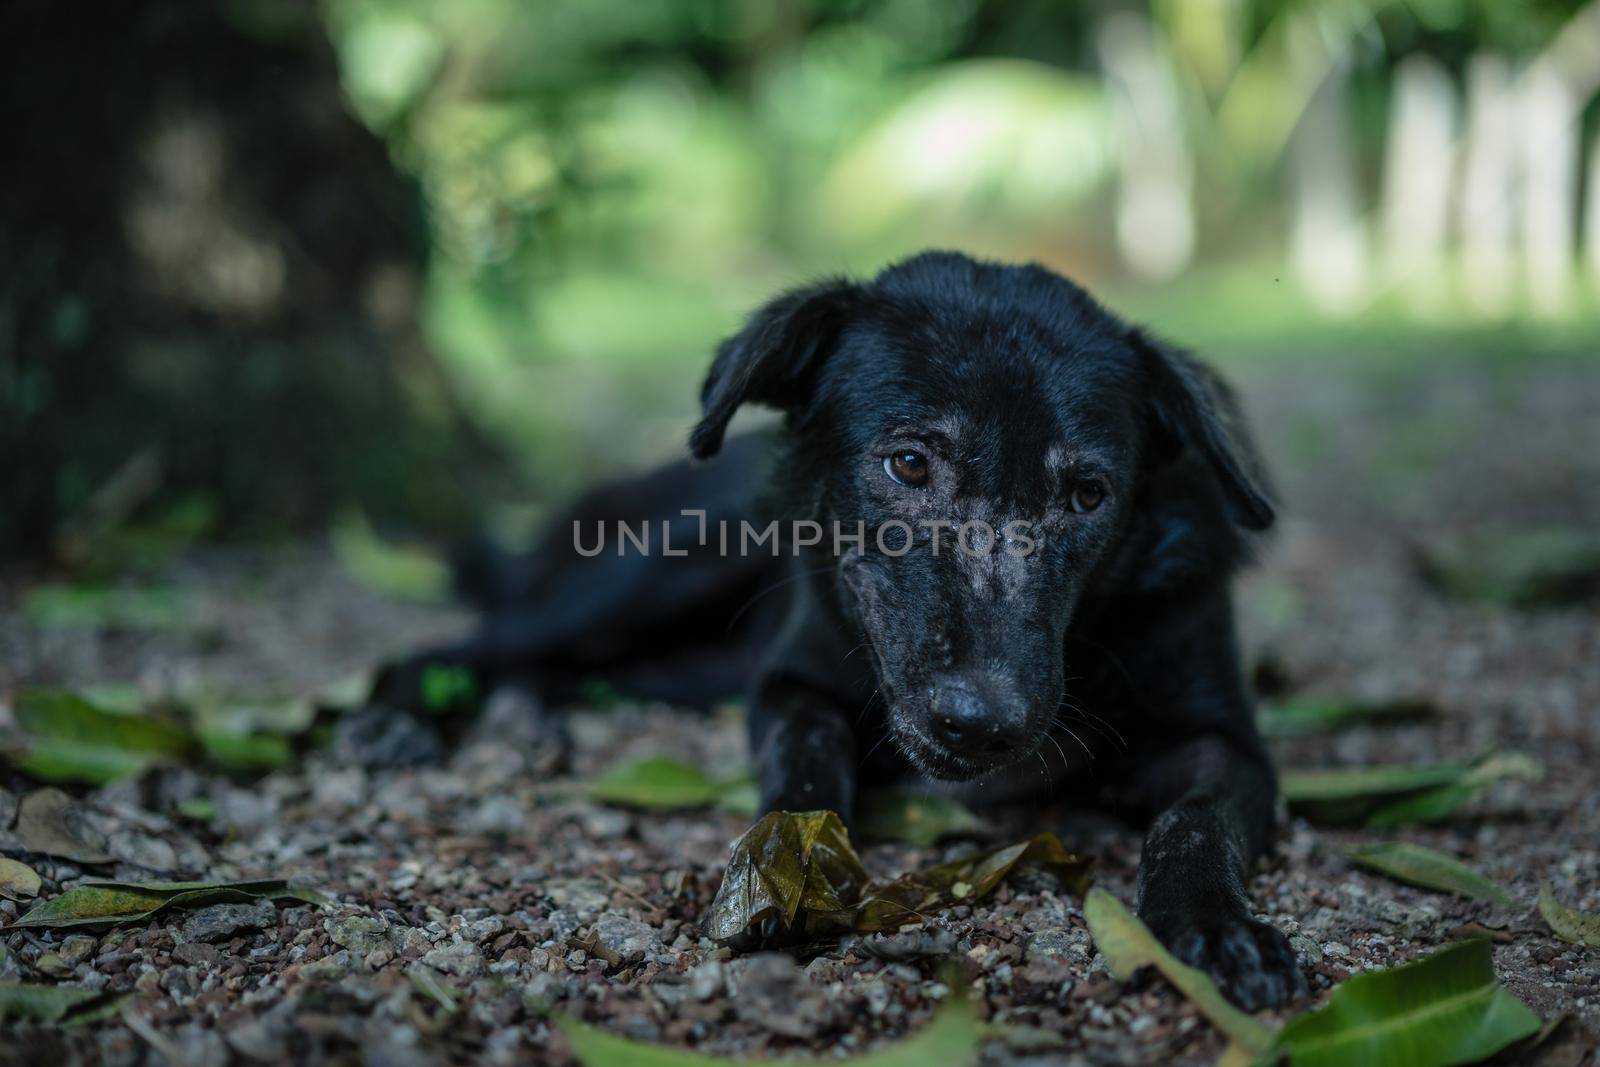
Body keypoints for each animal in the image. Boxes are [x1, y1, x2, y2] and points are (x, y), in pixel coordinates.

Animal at [380, 251, 1305, 1011]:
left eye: (1087, 495)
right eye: (909, 463)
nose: (982, 722)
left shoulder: (1222, 737)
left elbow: (1194, 821)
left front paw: (1218, 928)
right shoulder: (791, 681)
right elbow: (807, 758)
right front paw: (785, 865)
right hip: (667, 563)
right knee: (491, 637)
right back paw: (407, 711)